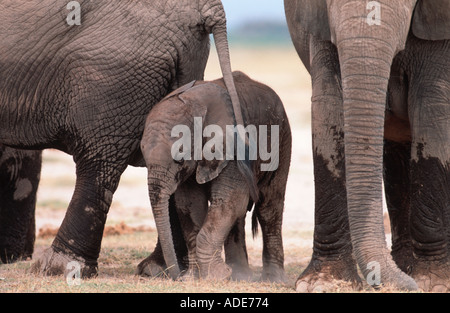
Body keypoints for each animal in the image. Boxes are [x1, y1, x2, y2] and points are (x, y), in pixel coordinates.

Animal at [0, 0, 243, 278]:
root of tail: (205, 6)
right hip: (180, 66)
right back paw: (160, 268)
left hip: (117, 67)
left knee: (100, 163)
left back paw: (59, 267)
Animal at [142, 70, 294, 280]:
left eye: (179, 159)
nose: (177, 276)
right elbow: (189, 204)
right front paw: (194, 277)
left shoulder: (235, 148)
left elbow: (228, 200)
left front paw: (218, 276)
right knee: (239, 215)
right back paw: (240, 275)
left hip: (281, 139)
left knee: (269, 206)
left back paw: (274, 280)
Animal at [284, 0, 450, 292]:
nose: (407, 286)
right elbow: (328, 105)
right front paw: (324, 283)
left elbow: (431, 109)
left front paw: (432, 283)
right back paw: (403, 267)